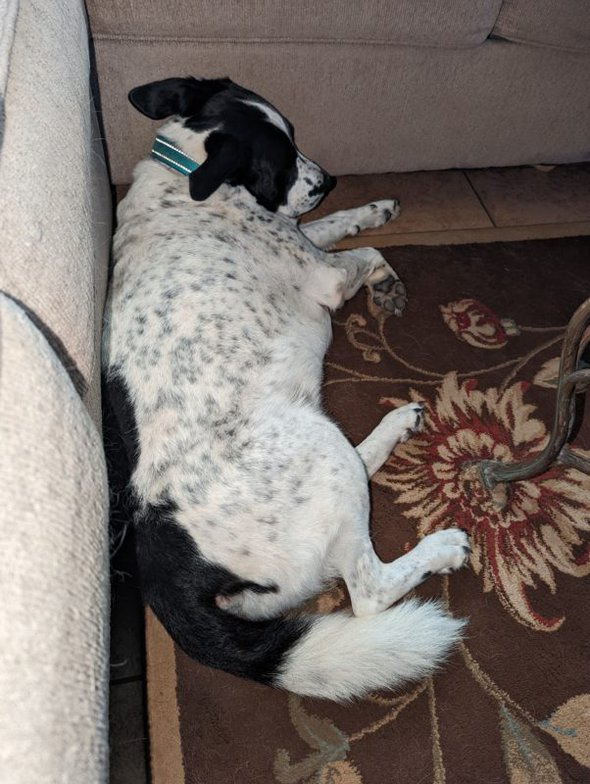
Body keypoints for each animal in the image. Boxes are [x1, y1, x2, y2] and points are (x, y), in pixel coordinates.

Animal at [102, 78, 472, 700]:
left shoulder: (304, 234)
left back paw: (396, 427)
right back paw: (441, 547)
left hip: (320, 449)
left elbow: (338, 226)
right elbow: (369, 254)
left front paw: (372, 209)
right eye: (282, 159)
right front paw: (385, 280)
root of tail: (159, 559)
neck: (186, 167)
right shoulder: (325, 273)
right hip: (316, 450)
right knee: (368, 591)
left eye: (295, 137)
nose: (327, 181)